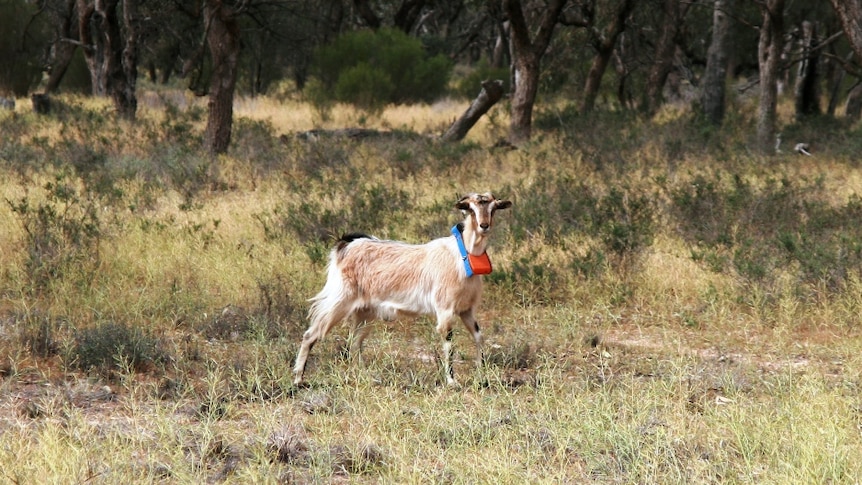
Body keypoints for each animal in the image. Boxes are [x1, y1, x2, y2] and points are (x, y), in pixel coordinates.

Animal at [296, 191, 512, 384]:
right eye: (471, 209)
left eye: (493, 209)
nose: (484, 226)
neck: (462, 255)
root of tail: (345, 245)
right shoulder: (445, 309)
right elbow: (449, 344)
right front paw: (452, 381)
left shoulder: (466, 309)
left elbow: (479, 336)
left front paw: (482, 374)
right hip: (340, 299)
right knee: (311, 334)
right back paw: (298, 379)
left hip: (365, 311)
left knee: (354, 343)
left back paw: (364, 378)